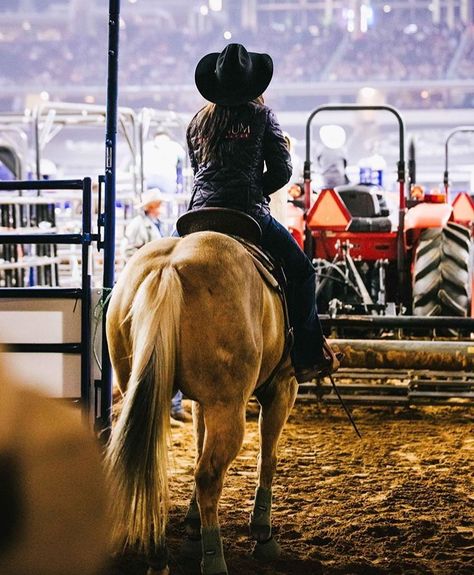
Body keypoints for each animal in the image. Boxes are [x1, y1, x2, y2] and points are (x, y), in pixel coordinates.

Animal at [106, 231, 298, 575]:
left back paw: (158, 558)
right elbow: (268, 458)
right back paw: (214, 560)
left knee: (156, 470)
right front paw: (262, 532)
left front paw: (192, 527)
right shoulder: (283, 386)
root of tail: (168, 269)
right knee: (209, 475)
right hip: (228, 407)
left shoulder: (200, 401)